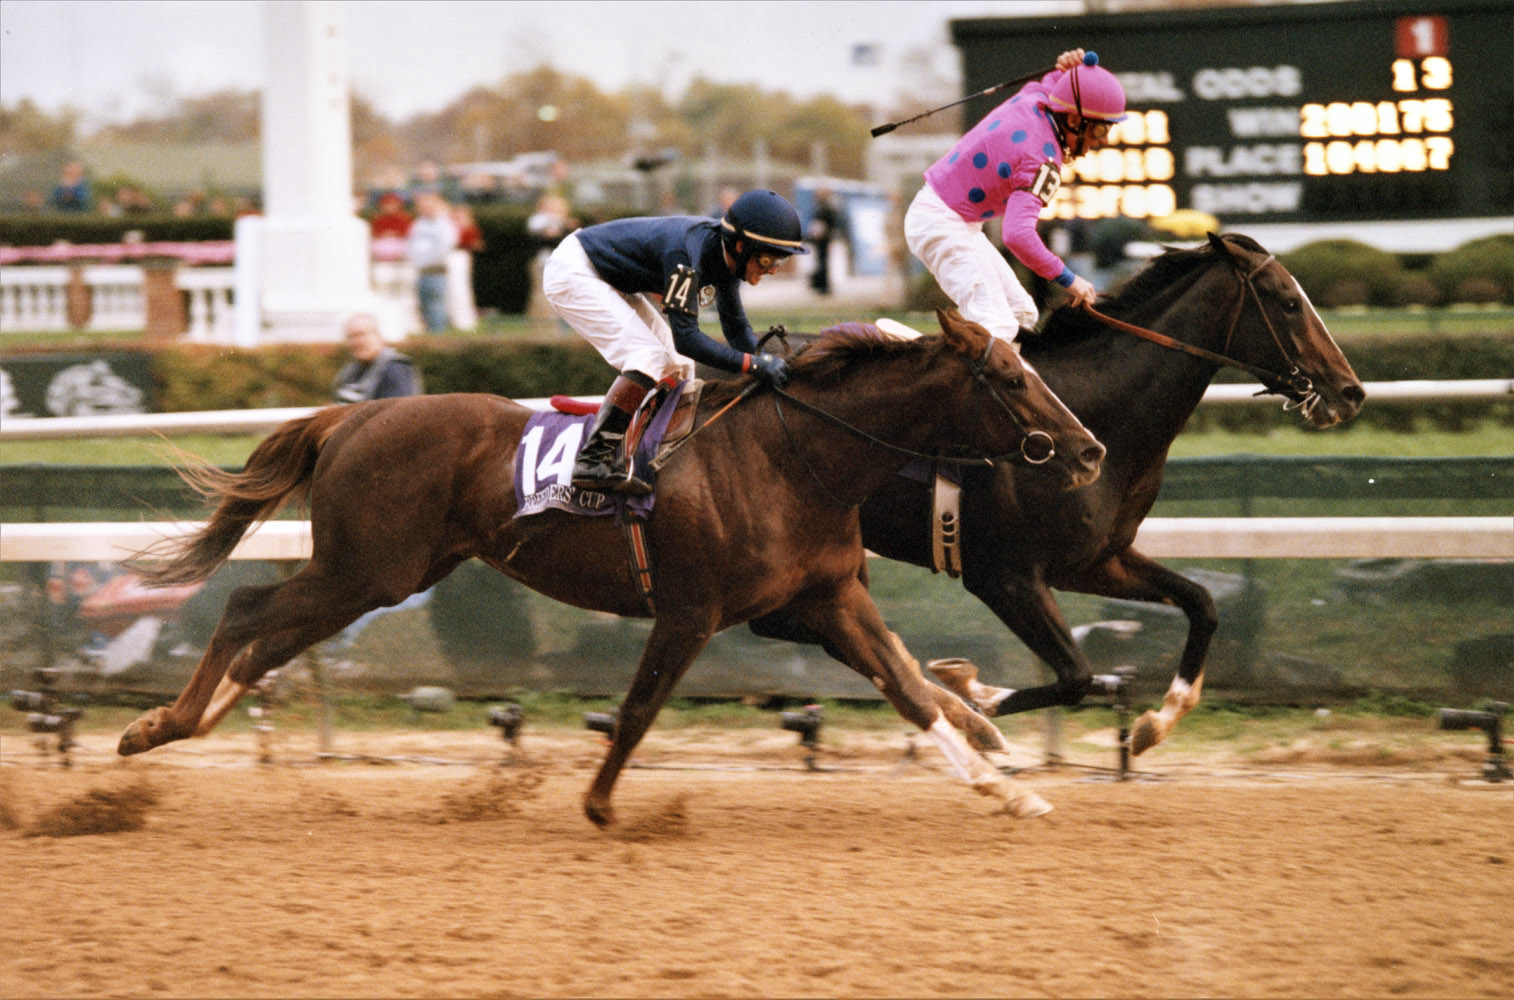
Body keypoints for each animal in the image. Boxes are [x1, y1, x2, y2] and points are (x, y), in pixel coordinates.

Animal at [118, 310, 1102, 816]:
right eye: (1008, 379)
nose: (1089, 450)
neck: (796, 458)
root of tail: (351, 416)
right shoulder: (693, 611)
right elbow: (636, 710)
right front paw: (597, 805)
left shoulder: (821, 602)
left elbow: (906, 684)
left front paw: (999, 774)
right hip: (368, 568)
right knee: (247, 612)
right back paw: (156, 728)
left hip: (392, 571)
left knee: (264, 631)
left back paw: (182, 720)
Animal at [763, 229, 1368, 753]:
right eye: (1288, 302)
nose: (1351, 391)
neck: (1093, 416)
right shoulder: (1003, 575)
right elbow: (1075, 675)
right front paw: (978, 697)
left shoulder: (1093, 560)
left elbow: (1202, 603)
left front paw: (1152, 724)